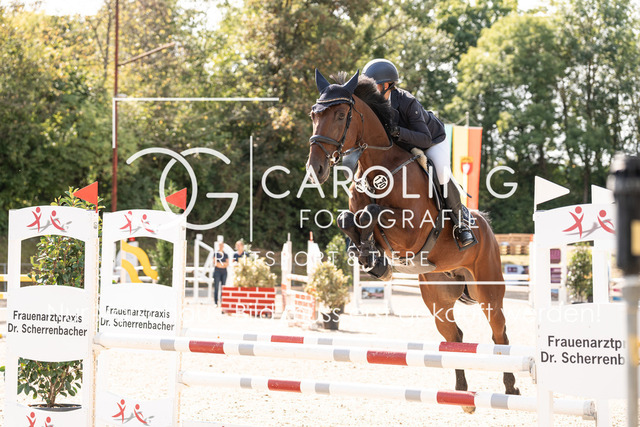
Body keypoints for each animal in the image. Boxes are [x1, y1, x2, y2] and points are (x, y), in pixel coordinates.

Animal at [306, 69, 519, 412]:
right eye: (314, 115)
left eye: (340, 115)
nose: (316, 168)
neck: (378, 168)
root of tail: (486, 225)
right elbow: (348, 219)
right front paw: (369, 257)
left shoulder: (411, 230)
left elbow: (372, 213)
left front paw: (371, 254)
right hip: (437, 297)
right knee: (454, 336)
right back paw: (462, 395)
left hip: (488, 290)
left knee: (499, 333)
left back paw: (510, 387)